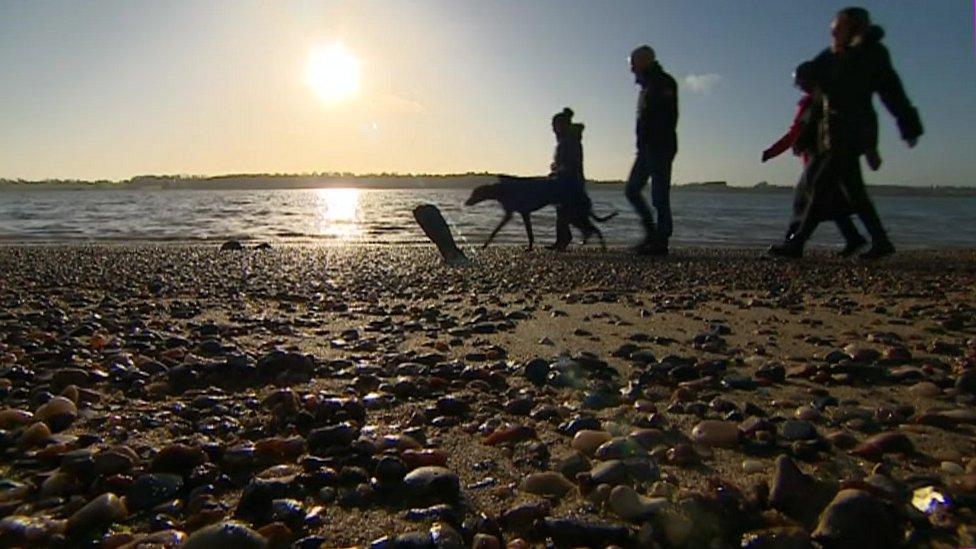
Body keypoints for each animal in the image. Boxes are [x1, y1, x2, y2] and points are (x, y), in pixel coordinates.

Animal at [466, 174, 616, 249]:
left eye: (474, 193)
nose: (466, 203)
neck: (501, 189)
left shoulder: (519, 213)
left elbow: (497, 230)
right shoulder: (521, 213)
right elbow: (527, 233)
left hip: (573, 215)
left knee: (593, 229)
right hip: (571, 215)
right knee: (588, 230)